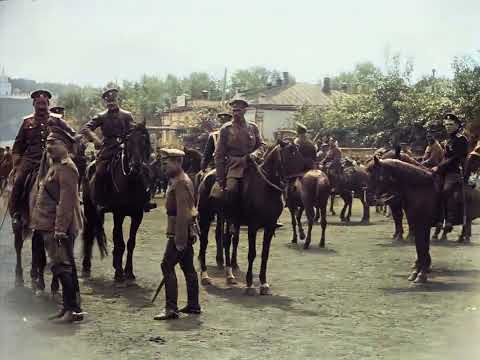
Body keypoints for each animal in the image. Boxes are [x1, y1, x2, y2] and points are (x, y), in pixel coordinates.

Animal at [81, 122, 151, 282]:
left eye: (144, 141)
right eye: (128, 141)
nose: (136, 166)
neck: (131, 183)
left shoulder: (137, 215)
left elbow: (130, 243)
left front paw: (129, 271)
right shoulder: (119, 214)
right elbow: (120, 242)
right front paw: (119, 272)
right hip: (89, 208)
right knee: (89, 233)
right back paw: (86, 265)